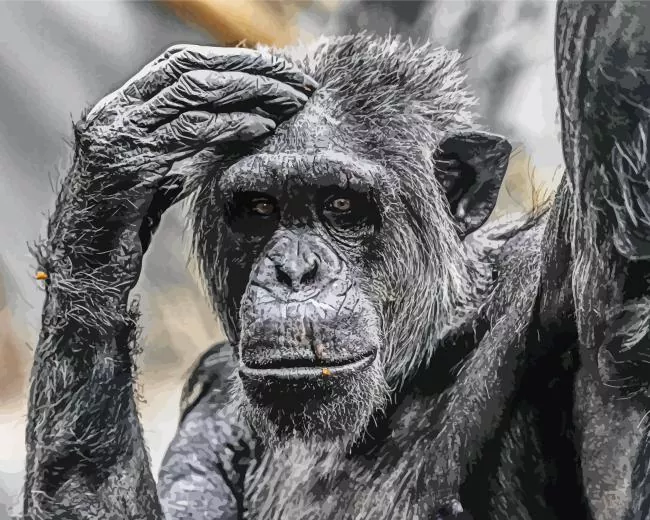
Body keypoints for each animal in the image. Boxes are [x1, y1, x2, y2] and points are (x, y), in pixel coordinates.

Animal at [19, 2, 650, 519]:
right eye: (259, 208)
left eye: (341, 206)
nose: (294, 272)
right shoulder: (217, 405)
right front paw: (124, 153)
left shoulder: (579, 284)